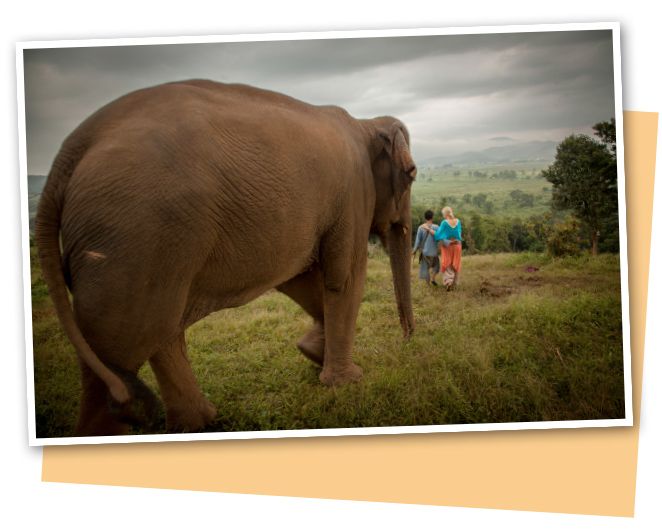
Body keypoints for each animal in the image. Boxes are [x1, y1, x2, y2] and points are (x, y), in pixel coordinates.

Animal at [35, 79, 417, 436]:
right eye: (412, 173)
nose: (408, 342)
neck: (365, 124)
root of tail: (67, 155)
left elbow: (299, 279)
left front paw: (311, 352)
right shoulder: (353, 196)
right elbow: (343, 279)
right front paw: (346, 382)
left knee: (158, 327)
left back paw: (199, 423)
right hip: (132, 238)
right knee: (125, 344)